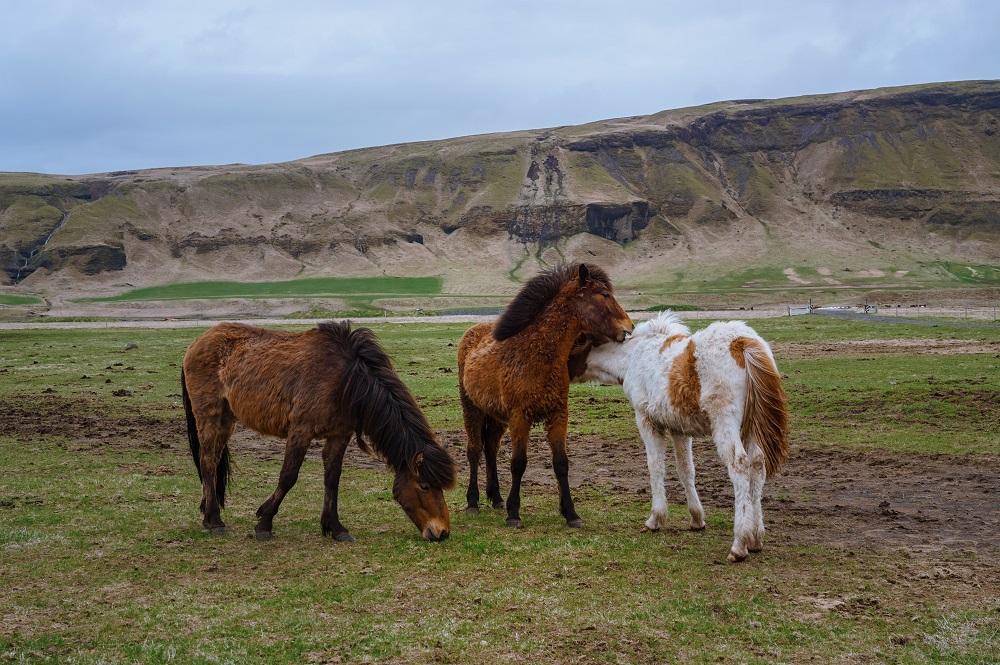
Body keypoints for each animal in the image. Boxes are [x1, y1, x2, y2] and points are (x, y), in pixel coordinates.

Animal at [182, 320, 456, 544]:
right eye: (424, 486)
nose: (442, 532)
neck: (345, 381)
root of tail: (197, 342)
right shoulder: (300, 431)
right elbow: (288, 477)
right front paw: (264, 523)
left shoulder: (339, 435)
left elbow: (332, 479)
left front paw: (335, 528)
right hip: (210, 415)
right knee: (207, 461)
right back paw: (214, 520)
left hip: (227, 419)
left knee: (213, 460)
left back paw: (207, 513)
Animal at [458, 262, 632, 528]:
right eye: (604, 294)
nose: (629, 327)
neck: (539, 354)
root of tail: (472, 333)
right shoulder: (521, 417)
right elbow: (518, 463)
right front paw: (514, 513)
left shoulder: (558, 415)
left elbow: (561, 463)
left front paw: (571, 514)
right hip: (471, 408)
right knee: (475, 450)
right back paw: (473, 502)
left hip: (496, 415)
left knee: (491, 448)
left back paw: (496, 498)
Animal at [576, 312, 792, 560]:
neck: (633, 356)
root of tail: (741, 342)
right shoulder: (679, 429)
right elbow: (686, 470)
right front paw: (697, 518)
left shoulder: (647, 421)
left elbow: (655, 466)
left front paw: (655, 519)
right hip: (750, 428)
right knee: (757, 465)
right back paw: (756, 538)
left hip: (725, 423)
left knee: (739, 465)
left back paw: (739, 543)